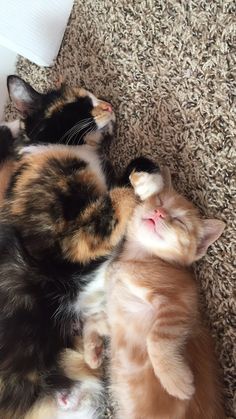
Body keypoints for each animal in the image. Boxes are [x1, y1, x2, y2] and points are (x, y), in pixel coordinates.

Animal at [104, 167, 225, 419]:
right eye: (159, 201)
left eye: (179, 221)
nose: (159, 213)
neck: (139, 257)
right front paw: (91, 351)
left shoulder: (180, 303)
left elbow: (157, 340)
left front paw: (175, 380)